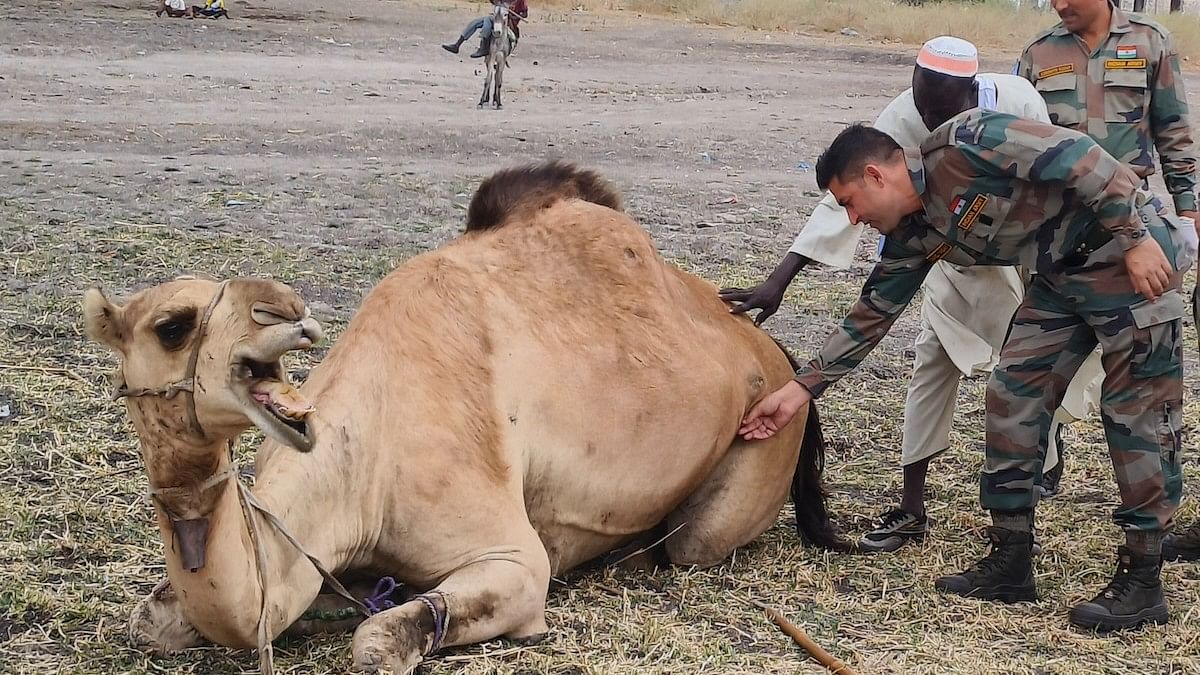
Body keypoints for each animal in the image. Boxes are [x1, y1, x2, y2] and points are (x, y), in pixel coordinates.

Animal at [82, 159, 844, 667]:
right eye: (173, 325)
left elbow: (380, 636)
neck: (360, 464)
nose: (287, 312)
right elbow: (153, 618)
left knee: (690, 545)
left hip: (759, 445)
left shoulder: (515, 559)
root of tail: (775, 351)